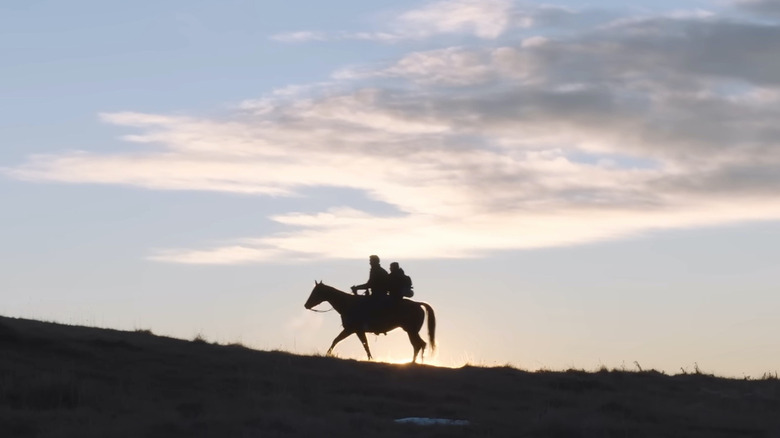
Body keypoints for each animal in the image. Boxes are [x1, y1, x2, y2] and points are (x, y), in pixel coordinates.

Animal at [304, 280, 438, 362]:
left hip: (411, 331)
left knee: (419, 345)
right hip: (411, 331)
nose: (306, 305)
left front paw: (327, 354)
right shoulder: (357, 331)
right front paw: (370, 359)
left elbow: (337, 340)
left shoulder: (351, 329)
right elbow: (365, 345)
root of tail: (418, 304)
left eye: (316, 292)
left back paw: (414, 362)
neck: (348, 304)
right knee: (420, 344)